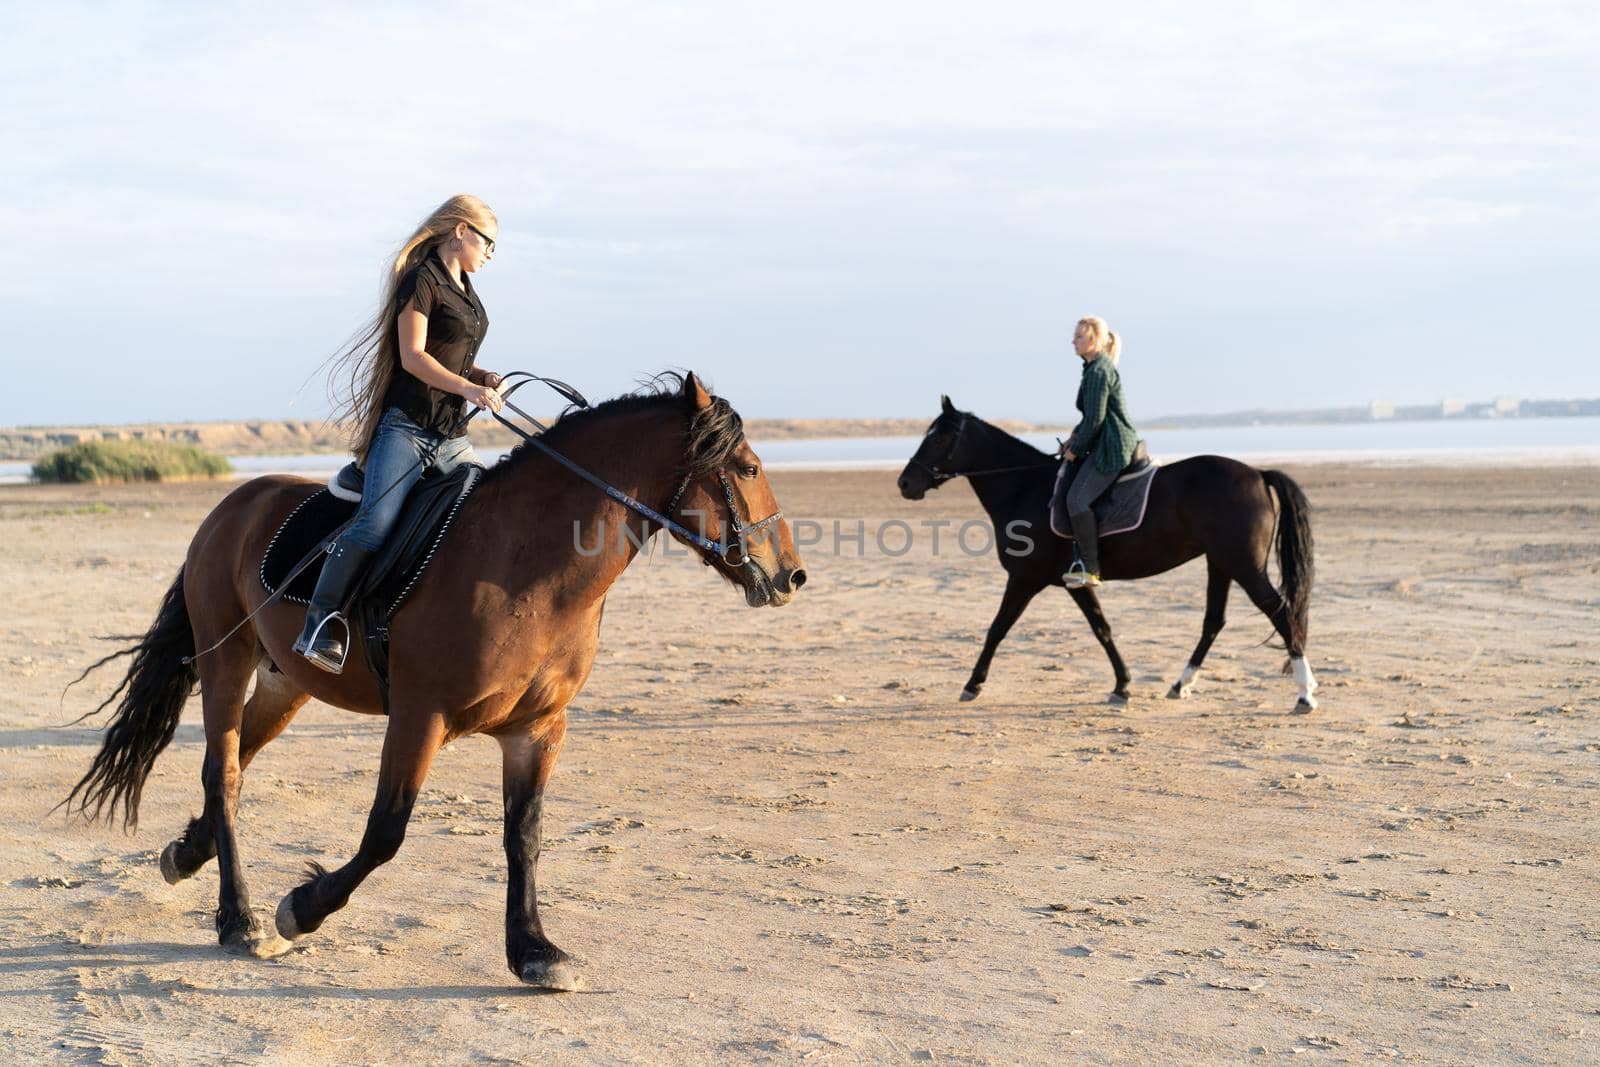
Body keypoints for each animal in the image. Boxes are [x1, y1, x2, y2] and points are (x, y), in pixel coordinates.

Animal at [68, 371, 806, 991]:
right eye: (748, 468)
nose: (792, 573)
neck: (525, 565)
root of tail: (234, 503)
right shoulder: (420, 716)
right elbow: (385, 832)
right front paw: (301, 907)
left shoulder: (538, 729)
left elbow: (524, 835)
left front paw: (533, 950)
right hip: (228, 661)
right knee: (223, 773)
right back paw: (239, 917)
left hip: (285, 684)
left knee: (234, 767)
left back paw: (185, 855)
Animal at [896, 396, 1318, 713]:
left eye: (939, 438)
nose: (905, 483)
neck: (1024, 487)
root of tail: (1257, 473)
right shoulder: (1076, 581)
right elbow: (1102, 629)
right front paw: (1122, 686)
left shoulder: (1024, 579)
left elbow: (997, 628)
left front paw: (972, 684)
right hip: (1221, 563)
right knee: (1214, 621)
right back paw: (1181, 684)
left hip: (1244, 565)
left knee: (1280, 612)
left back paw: (1304, 693)